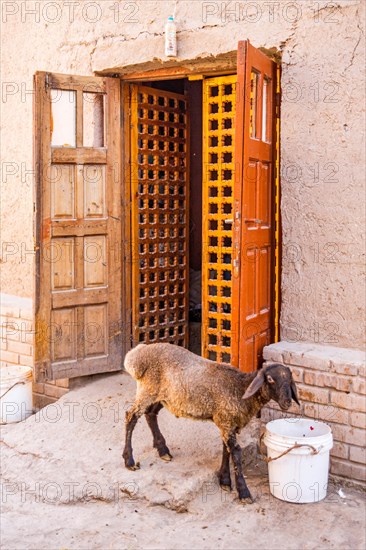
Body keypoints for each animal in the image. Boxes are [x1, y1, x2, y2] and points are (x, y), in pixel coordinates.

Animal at [123, 344, 300, 504]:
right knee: (131, 417)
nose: (287, 402)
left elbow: (226, 450)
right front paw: (243, 492)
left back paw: (162, 450)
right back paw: (129, 460)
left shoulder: (227, 423)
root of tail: (137, 353)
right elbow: (236, 452)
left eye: (290, 379)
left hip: (164, 397)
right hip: (148, 390)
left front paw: (225, 480)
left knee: (150, 414)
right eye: (270, 379)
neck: (241, 388)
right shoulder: (226, 421)